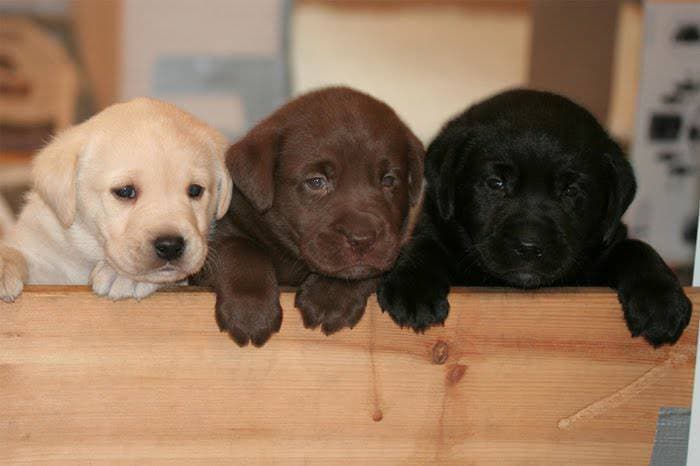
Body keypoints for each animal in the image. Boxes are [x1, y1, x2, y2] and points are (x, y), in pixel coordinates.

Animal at [0, 99, 232, 302]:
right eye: (125, 191)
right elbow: (12, 251)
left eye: (195, 190)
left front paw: (123, 276)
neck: (88, 254)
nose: (170, 246)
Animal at [378, 90, 688, 346]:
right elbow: (424, 245)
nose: (529, 247)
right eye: (496, 183)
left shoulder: (605, 246)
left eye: (571, 190)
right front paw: (413, 288)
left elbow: (636, 247)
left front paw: (661, 299)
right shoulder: (437, 226)